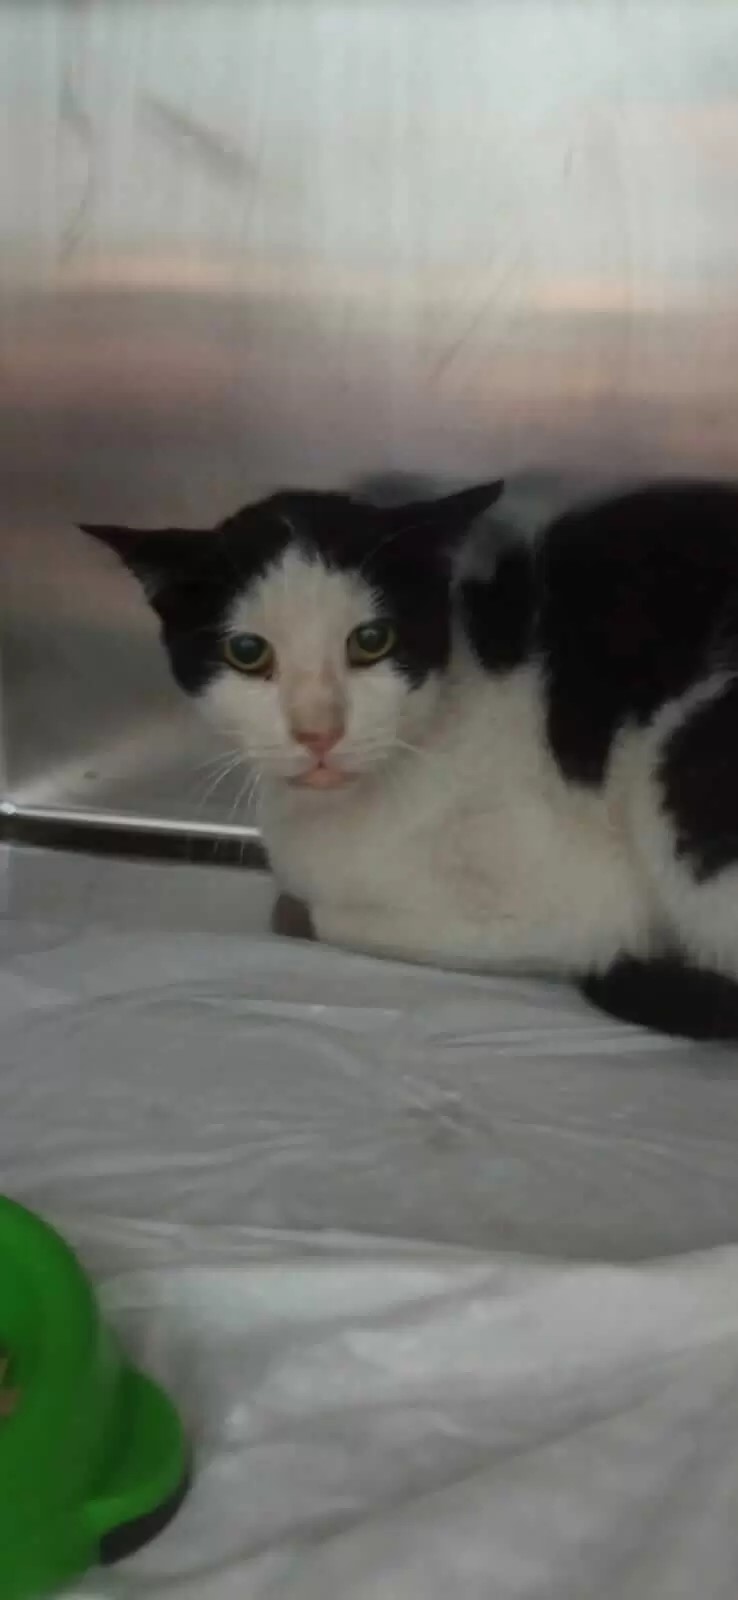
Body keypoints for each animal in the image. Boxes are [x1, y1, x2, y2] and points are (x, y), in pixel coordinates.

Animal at [83, 478, 738, 1041]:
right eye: (247, 651)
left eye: (372, 641)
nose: (318, 732)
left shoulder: (577, 908)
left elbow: (323, 916)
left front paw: (299, 909)